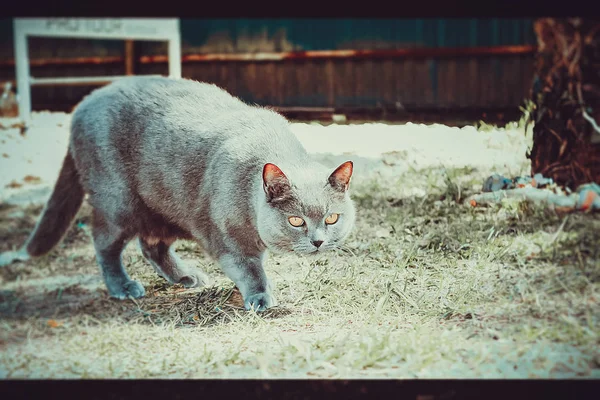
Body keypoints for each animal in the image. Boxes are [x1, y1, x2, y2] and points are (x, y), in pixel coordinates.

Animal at [0, 76, 356, 312]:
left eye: (332, 218)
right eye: (296, 221)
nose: (318, 241)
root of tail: (85, 102)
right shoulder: (227, 237)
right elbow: (249, 269)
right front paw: (260, 296)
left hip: (168, 206)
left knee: (151, 245)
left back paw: (186, 276)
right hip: (118, 201)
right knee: (104, 242)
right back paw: (123, 286)